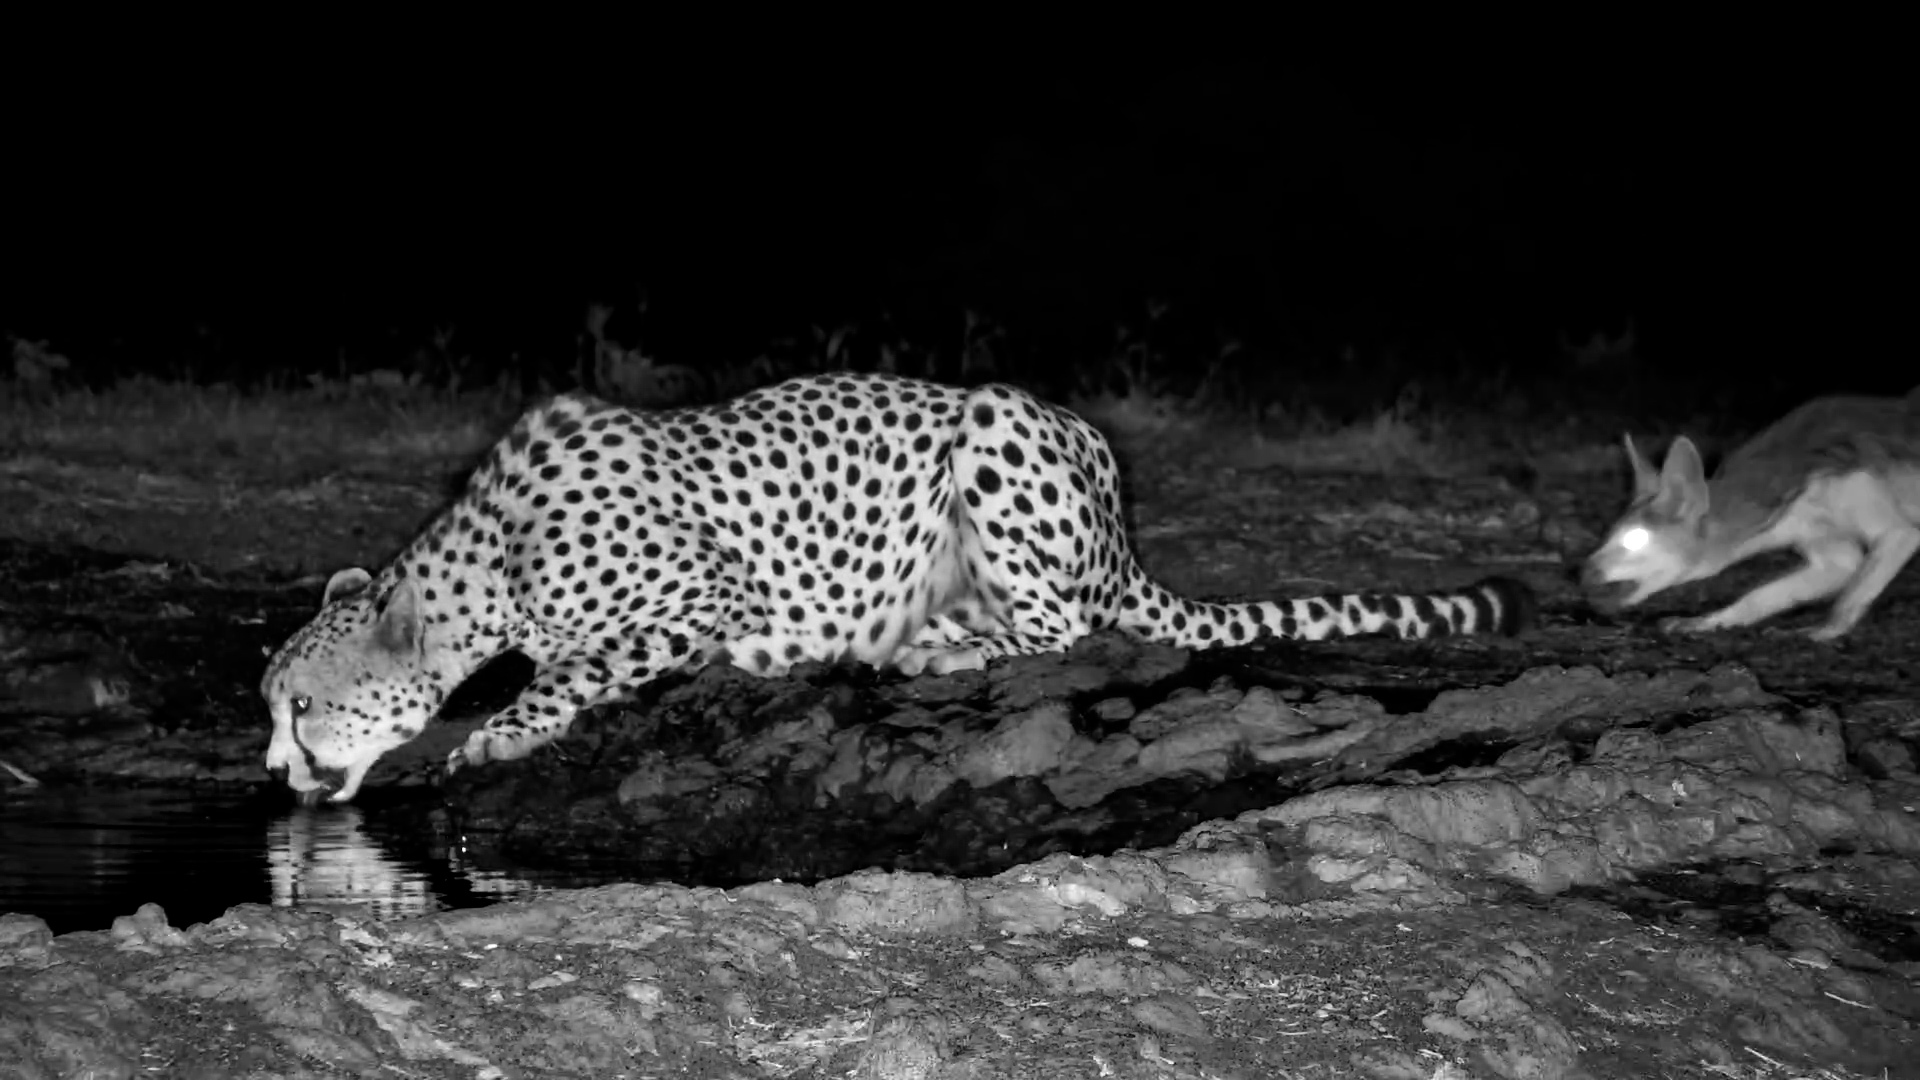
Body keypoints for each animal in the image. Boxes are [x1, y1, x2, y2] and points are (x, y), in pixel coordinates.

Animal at [263, 372, 1533, 804]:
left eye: (303, 704)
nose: (275, 772)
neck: (486, 565)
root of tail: (1123, 529)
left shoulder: (709, 596)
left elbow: (576, 670)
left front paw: (497, 735)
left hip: (998, 429)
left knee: (1067, 631)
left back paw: (924, 652)